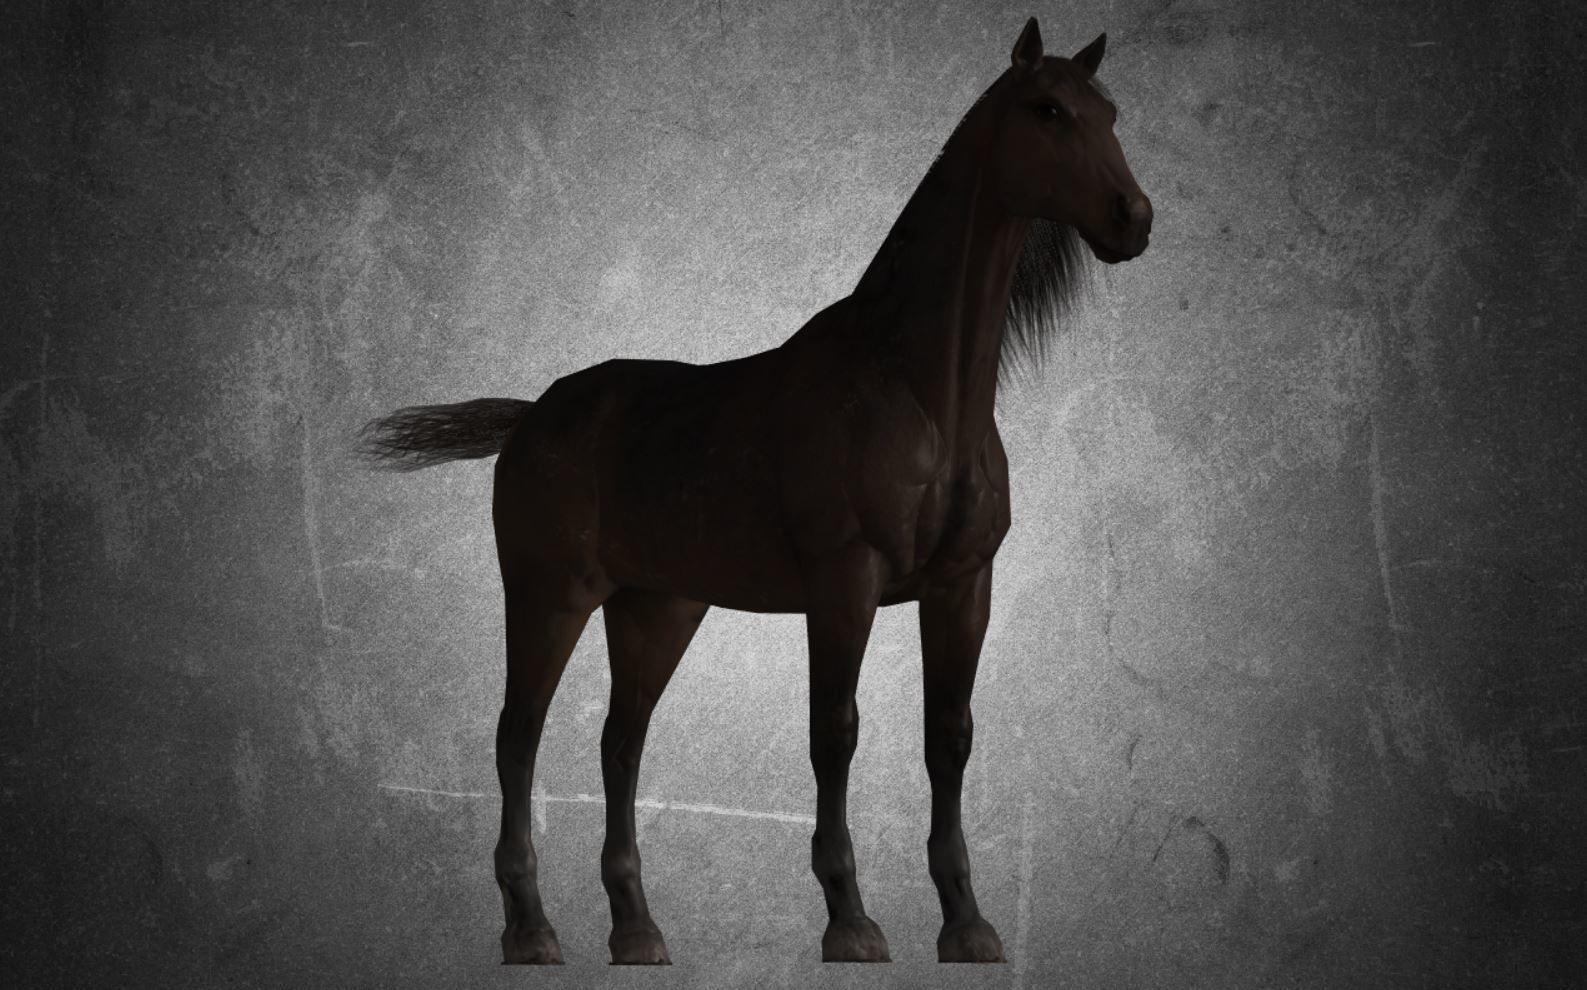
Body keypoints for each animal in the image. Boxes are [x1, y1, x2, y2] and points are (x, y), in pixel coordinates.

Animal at [359, 17, 1151, 965]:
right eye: (1048, 110)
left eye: (1110, 113)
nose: (1133, 220)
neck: (916, 390)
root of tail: (533, 416)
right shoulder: (844, 584)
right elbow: (834, 732)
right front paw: (849, 921)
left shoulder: (963, 586)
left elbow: (948, 738)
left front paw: (966, 924)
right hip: (549, 598)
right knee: (518, 738)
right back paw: (530, 930)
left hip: (655, 610)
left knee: (619, 745)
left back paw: (637, 931)